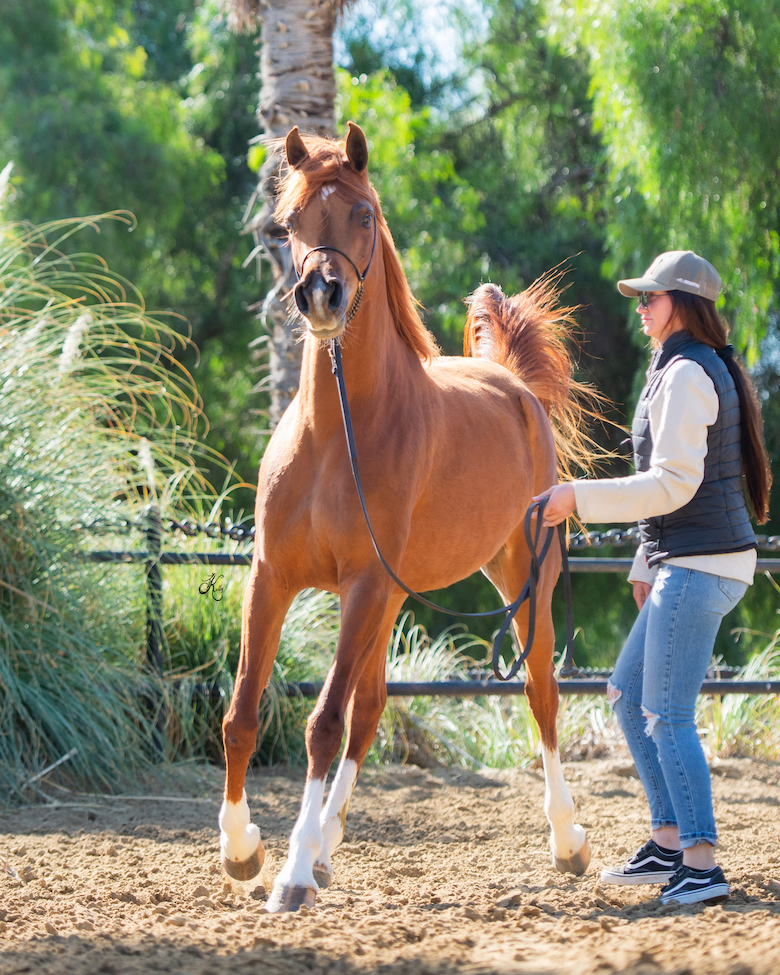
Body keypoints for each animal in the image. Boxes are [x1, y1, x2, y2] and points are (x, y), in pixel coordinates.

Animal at [219, 122, 600, 913]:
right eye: (288, 223)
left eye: (363, 214)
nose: (321, 294)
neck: (336, 434)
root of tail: (515, 385)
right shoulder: (273, 577)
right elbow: (243, 715)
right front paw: (243, 850)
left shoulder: (362, 586)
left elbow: (322, 724)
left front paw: (289, 873)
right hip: (392, 599)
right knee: (371, 708)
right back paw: (325, 850)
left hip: (522, 581)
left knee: (541, 694)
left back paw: (568, 840)